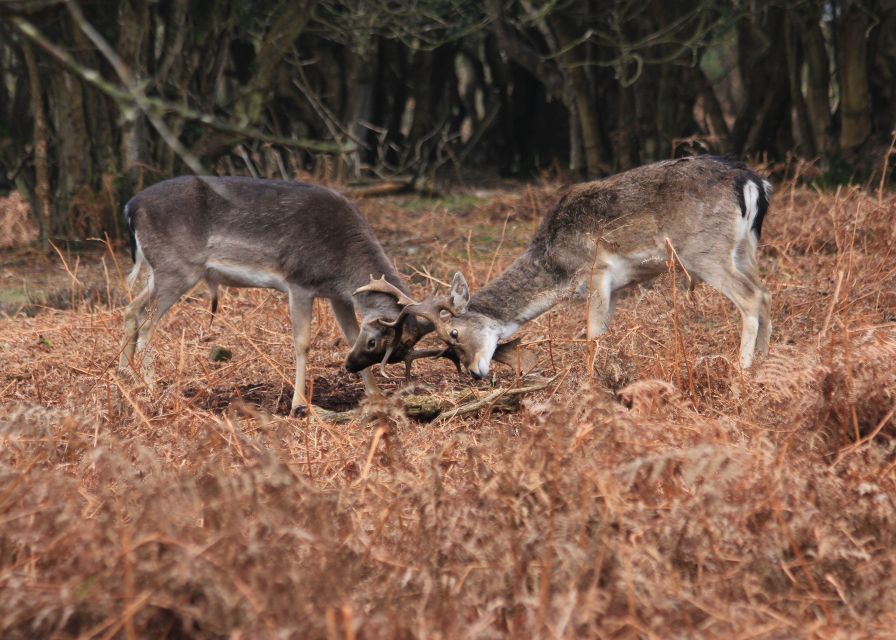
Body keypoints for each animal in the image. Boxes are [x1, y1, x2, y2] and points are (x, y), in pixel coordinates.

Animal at [120, 176, 434, 416]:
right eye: (374, 343)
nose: (349, 365)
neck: (342, 265)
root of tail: (130, 207)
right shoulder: (300, 282)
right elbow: (303, 342)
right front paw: (298, 405)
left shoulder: (338, 296)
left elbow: (348, 334)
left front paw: (376, 396)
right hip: (176, 268)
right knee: (147, 324)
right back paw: (150, 388)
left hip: (159, 271)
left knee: (132, 308)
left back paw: (126, 377)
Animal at [388, 156, 772, 380]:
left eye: (453, 334)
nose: (474, 373)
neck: (556, 266)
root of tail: (754, 182)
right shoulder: (618, 286)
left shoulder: (597, 271)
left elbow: (593, 335)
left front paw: (592, 382)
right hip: (745, 248)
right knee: (765, 294)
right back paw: (766, 361)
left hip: (704, 251)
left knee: (751, 298)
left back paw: (743, 366)